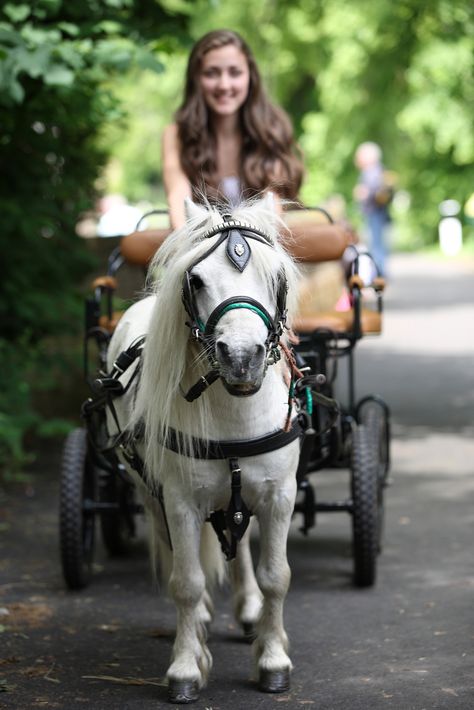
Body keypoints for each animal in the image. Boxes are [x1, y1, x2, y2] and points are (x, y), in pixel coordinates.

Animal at [106, 195, 302, 708]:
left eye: (277, 277)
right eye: (196, 280)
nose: (242, 357)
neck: (236, 414)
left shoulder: (279, 495)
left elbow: (276, 576)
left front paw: (273, 659)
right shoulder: (179, 501)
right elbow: (187, 582)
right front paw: (185, 665)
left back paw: (248, 610)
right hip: (150, 493)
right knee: (182, 554)